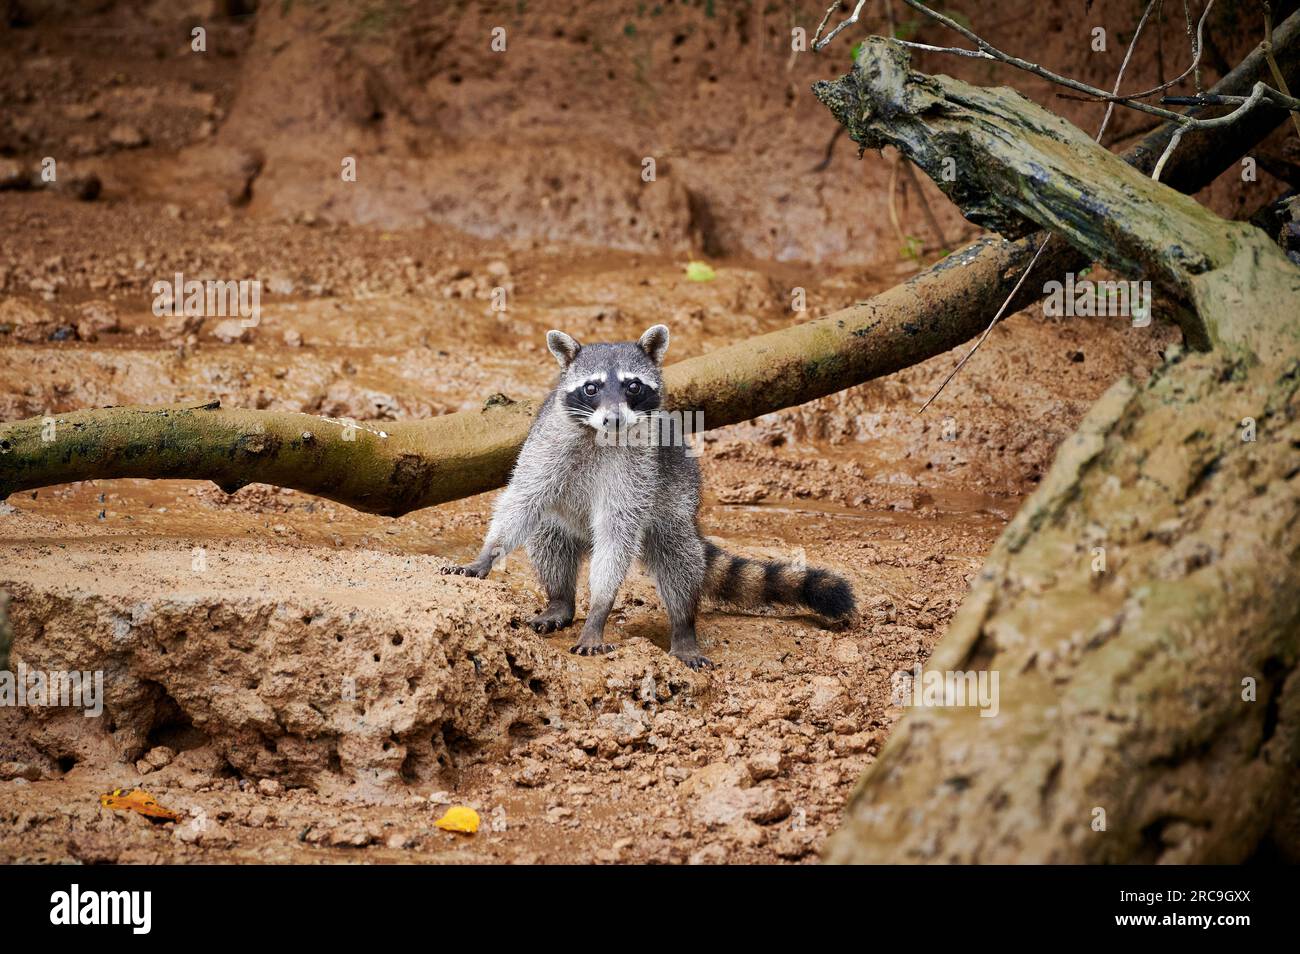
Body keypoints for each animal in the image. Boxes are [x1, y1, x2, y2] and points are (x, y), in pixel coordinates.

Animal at [441, 324, 857, 670]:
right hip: (563, 517)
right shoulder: (548, 442)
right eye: (591, 388)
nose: (614, 418)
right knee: (548, 538)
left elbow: (618, 532)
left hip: (675, 502)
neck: (600, 434)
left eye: (632, 386)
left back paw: (683, 627)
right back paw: (560, 599)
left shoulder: (638, 468)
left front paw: (600, 610)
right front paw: (486, 555)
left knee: (678, 559)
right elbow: (523, 499)